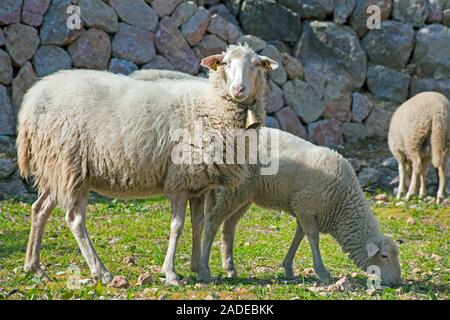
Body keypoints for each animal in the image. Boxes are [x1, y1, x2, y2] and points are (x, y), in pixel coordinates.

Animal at [16, 43, 278, 284]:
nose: (238, 89)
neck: (208, 105)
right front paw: (171, 273)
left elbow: (199, 224)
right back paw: (101, 272)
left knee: (40, 209)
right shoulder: (180, 179)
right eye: (225, 63)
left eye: (256, 64)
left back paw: (34, 267)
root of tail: (32, 100)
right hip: (69, 162)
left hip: (57, 166)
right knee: (75, 219)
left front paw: (201, 270)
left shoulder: (199, 185)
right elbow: (177, 226)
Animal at [199, 128, 402, 288]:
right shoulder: (305, 206)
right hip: (231, 191)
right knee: (212, 223)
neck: (342, 203)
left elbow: (299, 237)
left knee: (228, 226)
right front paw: (322, 271)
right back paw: (204, 268)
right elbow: (313, 238)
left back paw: (230, 268)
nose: (397, 282)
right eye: (384, 256)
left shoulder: (303, 210)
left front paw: (288, 268)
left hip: (246, 194)